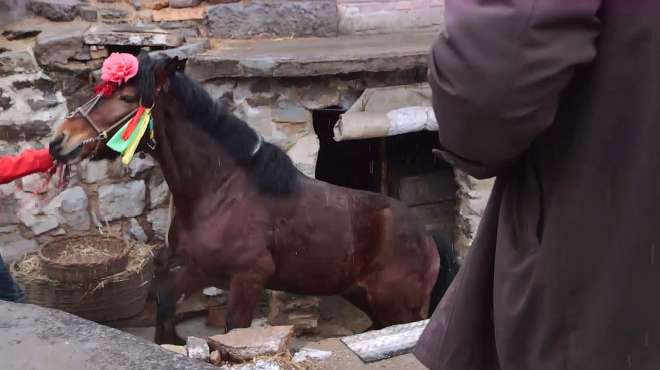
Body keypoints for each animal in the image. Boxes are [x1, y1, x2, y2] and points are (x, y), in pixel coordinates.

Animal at [49, 52, 440, 344]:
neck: (221, 192)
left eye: (128, 98)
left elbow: (233, 330)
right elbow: (165, 302)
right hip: (365, 297)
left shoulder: (246, 280)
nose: (59, 141)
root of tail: (429, 237)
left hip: (399, 308)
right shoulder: (200, 268)